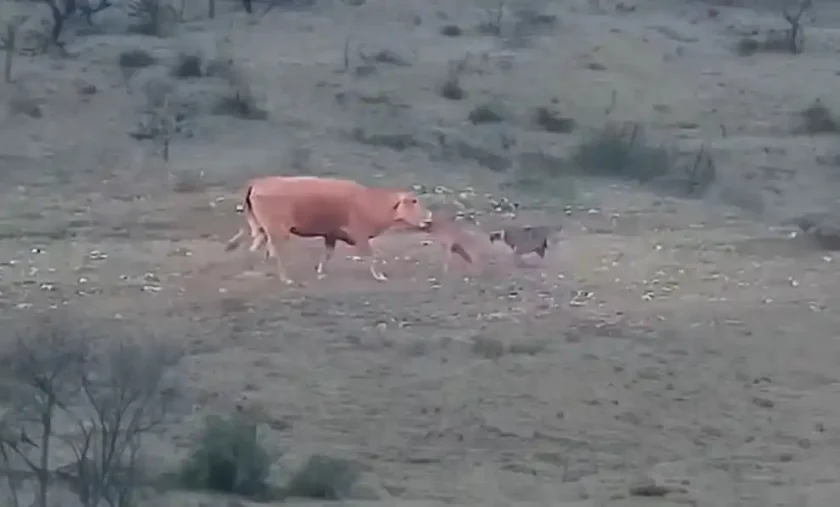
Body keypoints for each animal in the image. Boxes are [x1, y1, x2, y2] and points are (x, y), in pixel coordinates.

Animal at [224, 176, 433, 284]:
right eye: (414, 201)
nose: (429, 217)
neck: (370, 202)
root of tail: (257, 183)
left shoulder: (330, 235)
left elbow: (328, 254)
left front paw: (320, 271)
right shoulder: (360, 235)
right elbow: (370, 256)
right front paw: (379, 275)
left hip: (261, 228)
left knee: (255, 248)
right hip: (278, 230)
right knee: (276, 252)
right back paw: (285, 278)